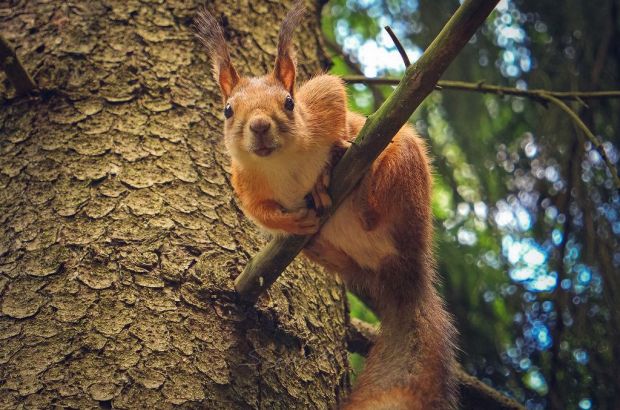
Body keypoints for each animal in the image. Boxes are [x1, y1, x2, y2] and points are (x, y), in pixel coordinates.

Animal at [194, 3, 456, 410]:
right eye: (227, 111)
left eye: (289, 103)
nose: (259, 126)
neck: (282, 162)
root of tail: (405, 268)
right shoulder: (245, 184)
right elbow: (259, 212)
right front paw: (291, 222)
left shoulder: (320, 101)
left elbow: (334, 97)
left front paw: (332, 158)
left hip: (405, 166)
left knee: (375, 201)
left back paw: (358, 183)